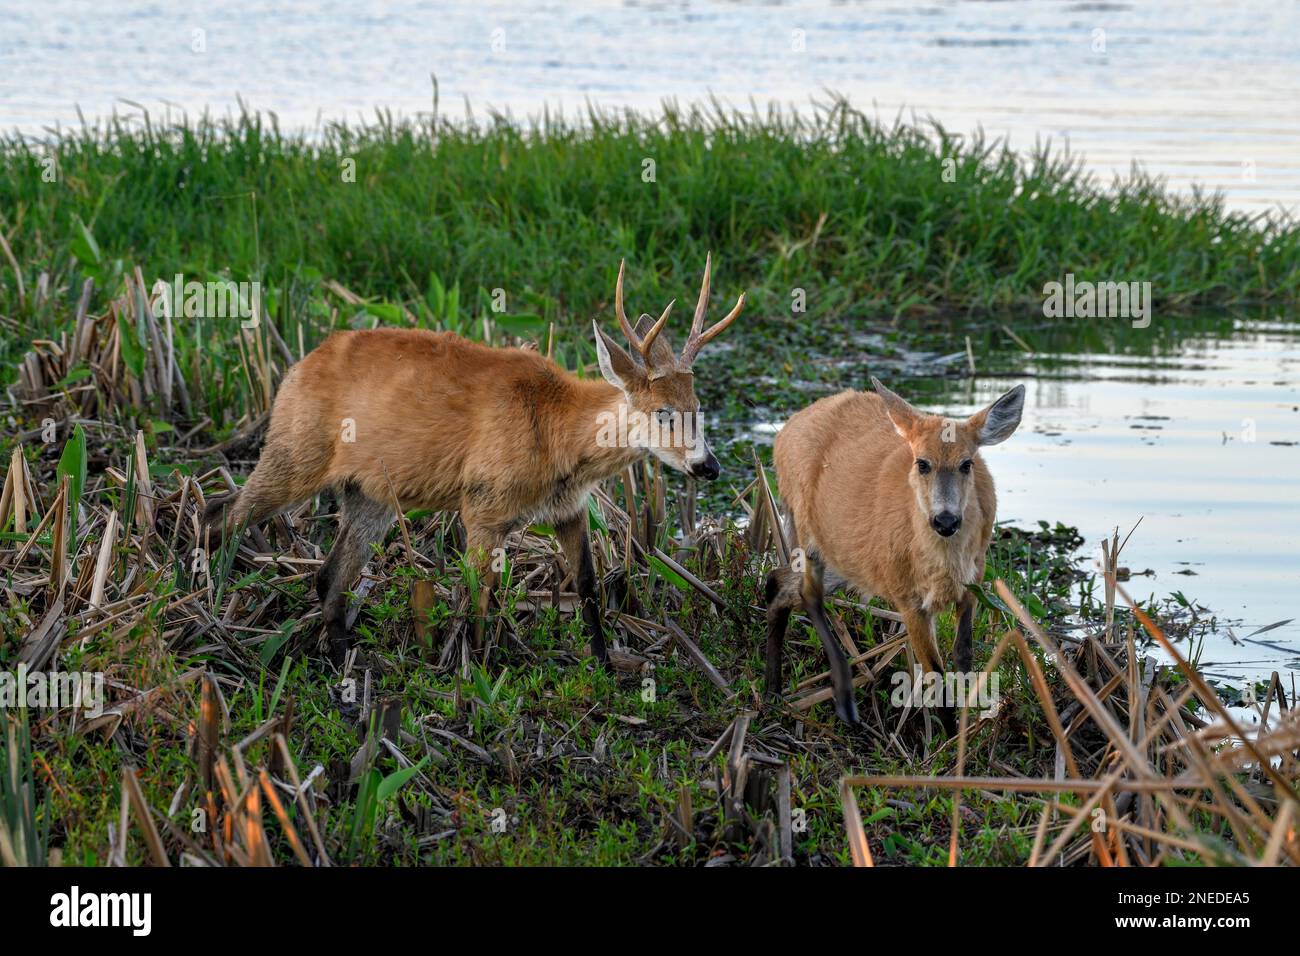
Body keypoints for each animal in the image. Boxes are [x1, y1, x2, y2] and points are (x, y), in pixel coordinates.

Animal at [206, 257, 748, 671]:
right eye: (663, 412)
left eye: (699, 406)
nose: (710, 467)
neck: (556, 431)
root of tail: (295, 368)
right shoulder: (482, 506)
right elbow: (480, 595)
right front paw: (479, 673)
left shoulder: (569, 508)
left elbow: (589, 587)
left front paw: (606, 668)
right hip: (294, 453)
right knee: (223, 516)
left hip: (370, 495)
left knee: (330, 578)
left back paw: (344, 666)